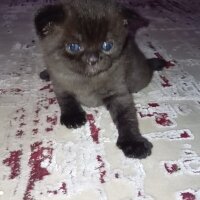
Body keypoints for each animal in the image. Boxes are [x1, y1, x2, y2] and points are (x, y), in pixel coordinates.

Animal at [34, 0, 165, 159]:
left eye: (107, 45)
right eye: (73, 47)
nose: (93, 59)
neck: (86, 79)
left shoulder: (118, 92)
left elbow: (126, 117)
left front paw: (133, 142)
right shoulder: (60, 83)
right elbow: (66, 100)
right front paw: (73, 116)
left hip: (140, 77)